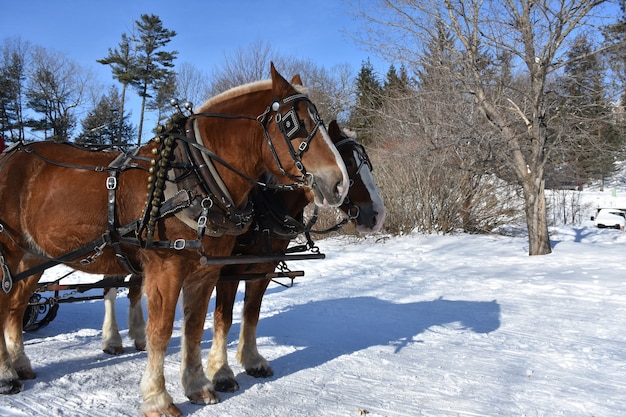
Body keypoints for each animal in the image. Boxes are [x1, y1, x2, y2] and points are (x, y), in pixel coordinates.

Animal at [0, 63, 348, 414]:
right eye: (293, 124)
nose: (339, 183)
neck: (195, 175)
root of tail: (10, 154)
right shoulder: (166, 267)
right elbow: (162, 331)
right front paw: (158, 398)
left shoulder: (207, 271)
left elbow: (193, 326)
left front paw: (197, 386)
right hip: (11, 254)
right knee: (6, 306)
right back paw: (6, 374)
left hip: (33, 256)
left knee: (16, 307)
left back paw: (20, 364)